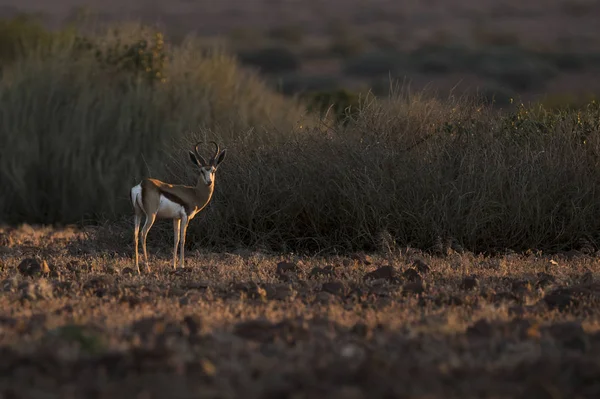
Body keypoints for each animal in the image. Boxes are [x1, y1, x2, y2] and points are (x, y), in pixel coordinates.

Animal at [130, 141, 226, 276]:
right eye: (201, 171)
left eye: (213, 170)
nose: (209, 182)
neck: (195, 193)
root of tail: (142, 185)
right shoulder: (186, 217)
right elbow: (182, 239)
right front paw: (181, 265)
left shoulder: (176, 218)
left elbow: (175, 239)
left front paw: (173, 266)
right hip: (151, 216)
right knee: (143, 234)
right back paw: (147, 268)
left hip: (138, 214)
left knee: (135, 235)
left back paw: (137, 269)